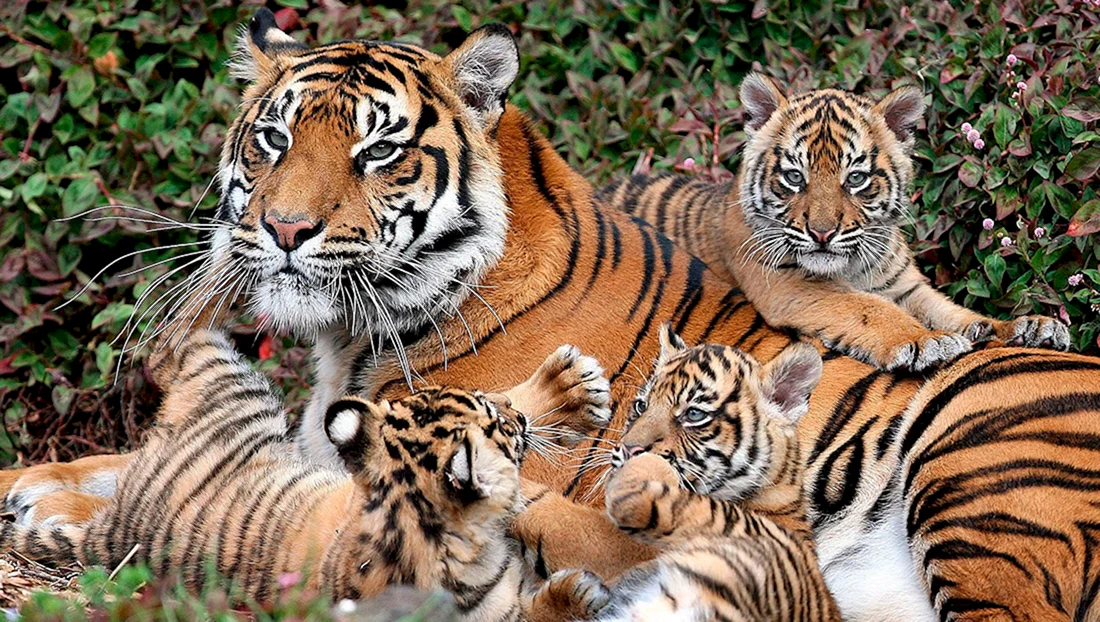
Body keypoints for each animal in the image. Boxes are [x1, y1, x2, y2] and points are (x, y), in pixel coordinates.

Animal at [597, 72, 1070, 372]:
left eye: (855, 179)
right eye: (794, 177)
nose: (822, 233)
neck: (853, 267)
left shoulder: (908, 286)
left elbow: (958, 313)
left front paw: (1028, 327)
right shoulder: (788, 286)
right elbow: (865, 307)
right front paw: (924, 341)